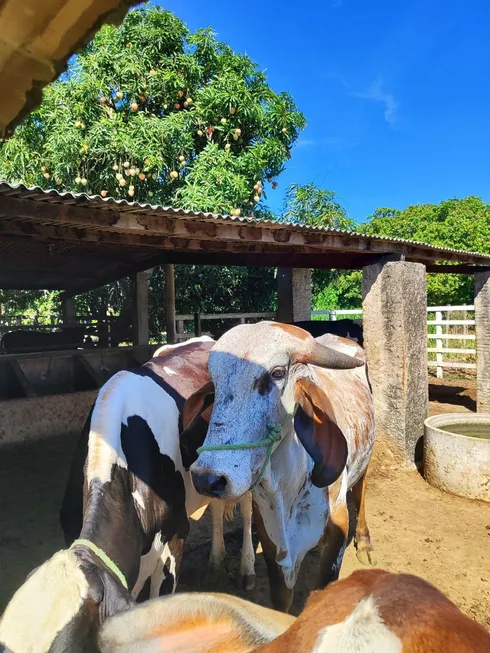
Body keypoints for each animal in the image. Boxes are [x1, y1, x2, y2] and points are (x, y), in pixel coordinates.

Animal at [182, 320, 378, 612]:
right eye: (214, 380)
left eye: (277, 373)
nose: (208, 479)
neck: (287, 488)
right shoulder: (271, 536)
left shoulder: (338, 527)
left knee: (361, 492)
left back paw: (364, 542)